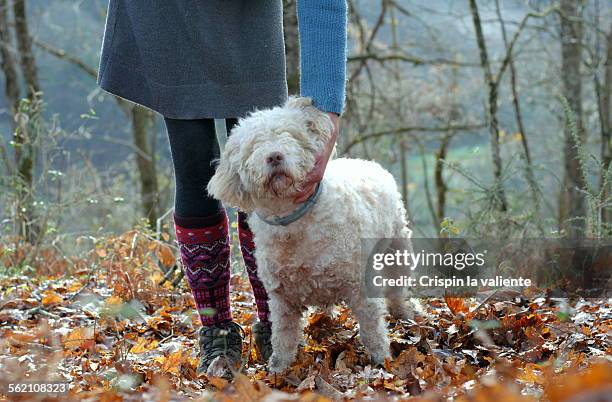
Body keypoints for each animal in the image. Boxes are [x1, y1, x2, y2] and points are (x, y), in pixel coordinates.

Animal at [208, 96, 414, 372]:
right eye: (254, 146)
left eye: (291, 136)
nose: (274, 156)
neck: (294, 223)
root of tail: (367, 163)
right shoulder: (281, 300)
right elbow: (283, 337)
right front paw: (278, 370)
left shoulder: (360, 286)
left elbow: (372, 329)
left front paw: (382, 361)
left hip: (397, 246)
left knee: (397, 289)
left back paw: (407, 314)